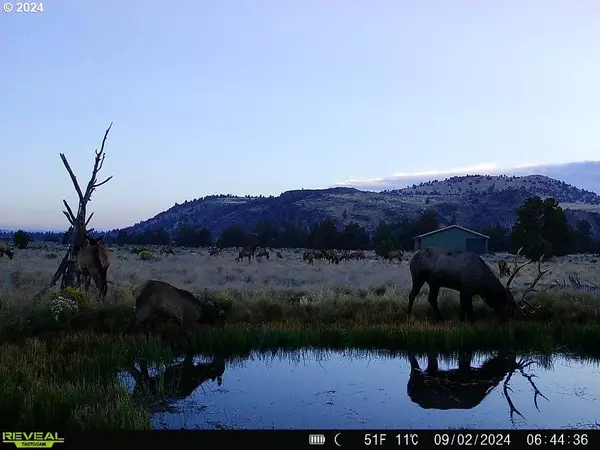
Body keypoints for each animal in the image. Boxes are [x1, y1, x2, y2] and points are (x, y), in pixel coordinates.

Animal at [406, 246, 552, 324]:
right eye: (509, 308)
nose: (507, 322)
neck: (483, 286)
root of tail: (413, 257)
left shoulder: (464, 290)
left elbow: (462, 308)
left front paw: (461, 320)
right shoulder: (466, 289)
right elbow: (469, 310)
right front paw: (471, 322)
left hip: (434, 283)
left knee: (431, 298)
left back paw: (440, 319)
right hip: (418, 276)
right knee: (413, 294)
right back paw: (409, 315)